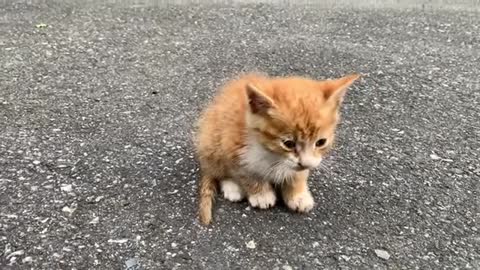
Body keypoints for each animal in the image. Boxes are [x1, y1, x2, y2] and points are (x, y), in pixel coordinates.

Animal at [193, 73, 358, 225]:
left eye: (321, 142)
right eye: (288, 143)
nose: (306, 163)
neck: (274, 155)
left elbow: (298, 174)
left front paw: (298, 195)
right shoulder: (234, 146)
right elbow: (247, 174)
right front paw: (261, 194)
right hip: (212, 142)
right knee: (219, 170)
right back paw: (232, 187)